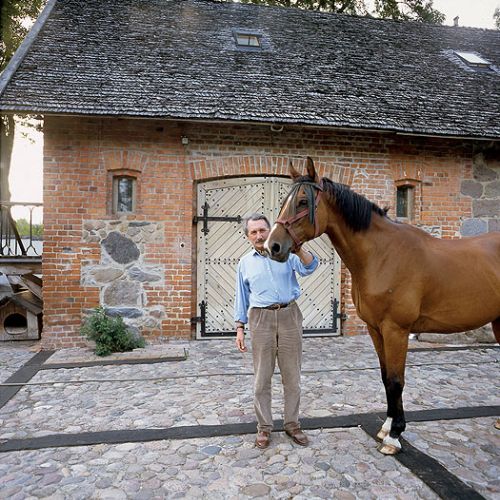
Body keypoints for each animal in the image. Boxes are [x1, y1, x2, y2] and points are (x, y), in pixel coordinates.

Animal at [266, 158, 500, 456]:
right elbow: (385, 377)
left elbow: (397, 380)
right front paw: (387, 427)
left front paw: (395, 437)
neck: (383, 254)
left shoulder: (396, 330)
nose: (272, 246)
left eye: (303, 202)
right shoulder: (375, 329)